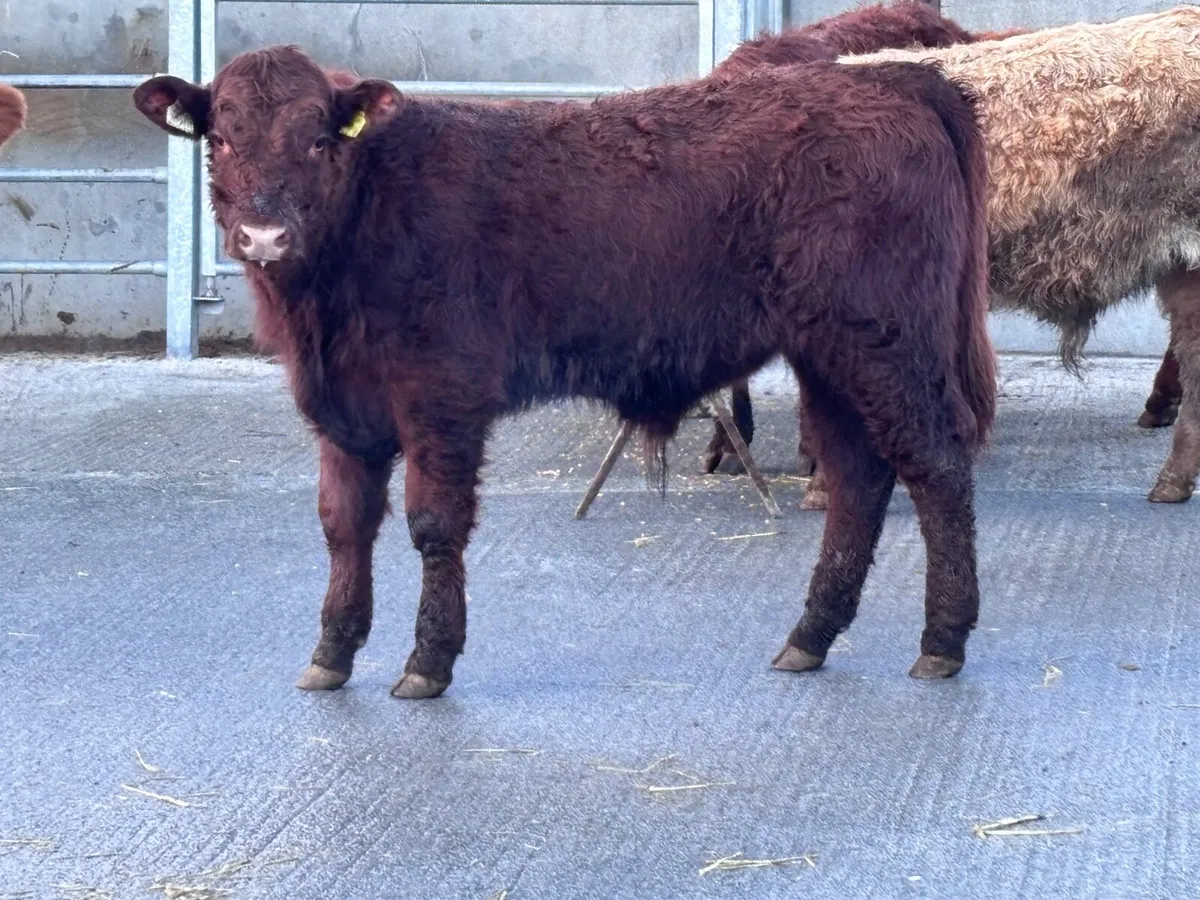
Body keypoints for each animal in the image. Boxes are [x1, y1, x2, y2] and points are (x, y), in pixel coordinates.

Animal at [133, 44, 994, 697]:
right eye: (221, 140)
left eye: (319, 139)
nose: (264, 235)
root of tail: (888, 78)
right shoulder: (343, 407)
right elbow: (344, 525)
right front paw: (332, 653)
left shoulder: (442, 394)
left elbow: (432, 524)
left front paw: (428, 660)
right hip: (831, 354)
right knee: (858, 477)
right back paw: (810, 636)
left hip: (887, 342)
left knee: (935, 465)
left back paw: (942, 642)